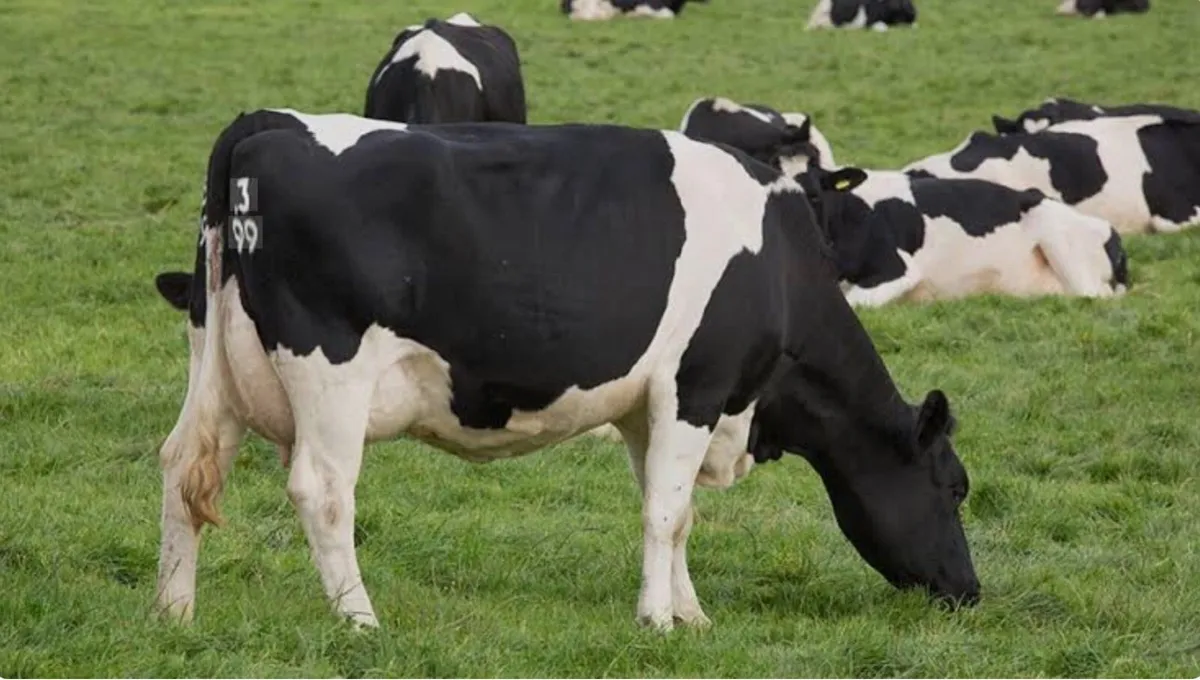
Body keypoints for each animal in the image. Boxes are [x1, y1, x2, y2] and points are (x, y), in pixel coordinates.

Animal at [151, 109, 980, 631]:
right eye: (954, 487)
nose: (969, 592)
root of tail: (269, 123)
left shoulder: (651, 405)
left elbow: (674, 511)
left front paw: (691, 614)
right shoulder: (697, 385)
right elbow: (667, 511)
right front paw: (658, 622)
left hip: (211, 360)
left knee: (183, 464)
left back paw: (175, 612)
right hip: (331, 370)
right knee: (322, 490)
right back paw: (361, 619)